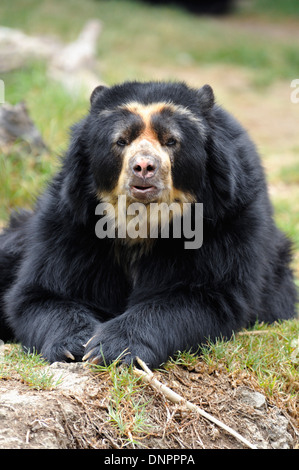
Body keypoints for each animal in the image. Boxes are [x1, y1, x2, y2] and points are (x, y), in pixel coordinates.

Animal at [0, 80, 298, 368]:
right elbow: (42, 292)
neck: (142, 220)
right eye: (121, 141)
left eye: (171, 141)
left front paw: (112, 347)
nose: (143, 167)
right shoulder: (71, 220)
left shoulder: (226, 221)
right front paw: (75, 345)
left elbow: (206, 295)